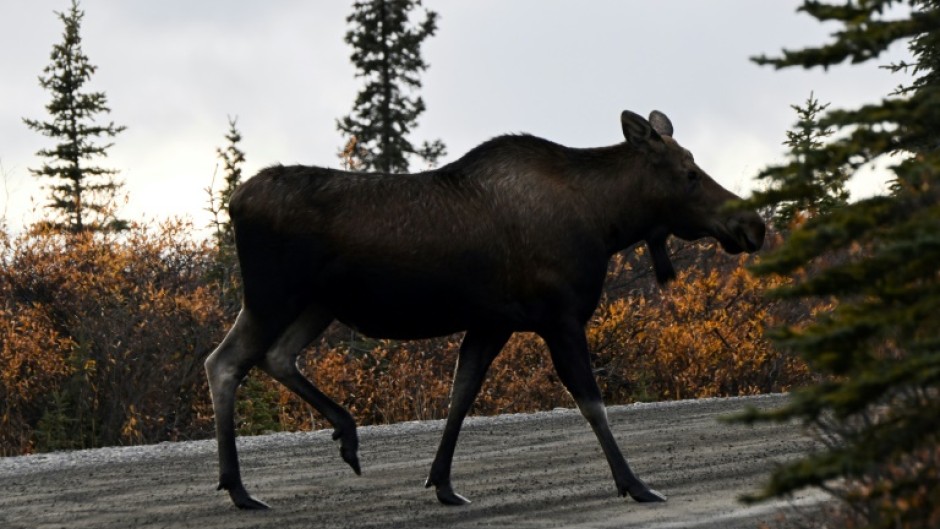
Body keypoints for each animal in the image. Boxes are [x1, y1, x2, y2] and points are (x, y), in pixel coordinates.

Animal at [205, 109, 766, 510]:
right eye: (689, 173)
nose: (754, 226)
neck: (608, 223)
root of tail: (235, 202)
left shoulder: (493, 322)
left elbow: (462, 394)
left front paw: (442, 483)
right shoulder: (559, 317)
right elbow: (592, 403)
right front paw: (635, 483)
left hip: (314, 305)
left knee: (273, 357)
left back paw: (340, 437)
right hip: (273, 296)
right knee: (225, 362)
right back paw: (240, 488)